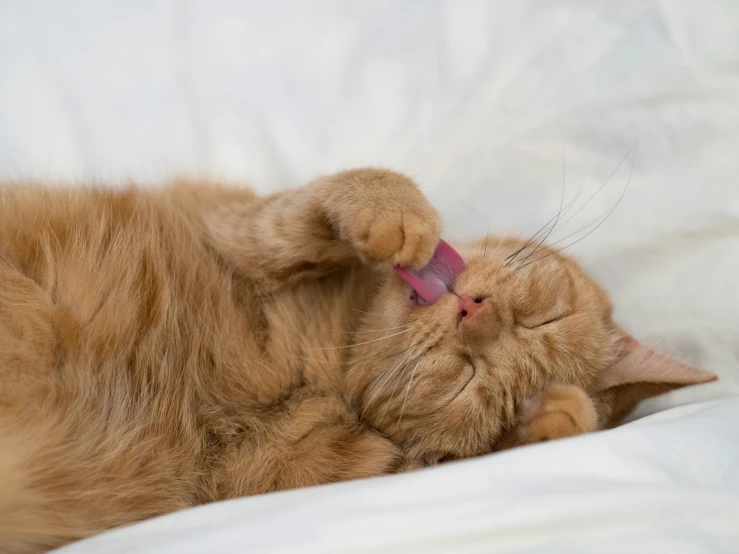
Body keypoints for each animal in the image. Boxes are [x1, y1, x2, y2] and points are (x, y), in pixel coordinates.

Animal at [0, 168, 716, 552]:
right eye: (543, 314)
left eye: (471, 383)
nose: (473, 310)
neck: (326, 356)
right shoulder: (236, 230)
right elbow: (331, 195)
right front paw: (399, 217)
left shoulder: (291, 475)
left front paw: (552, 419)